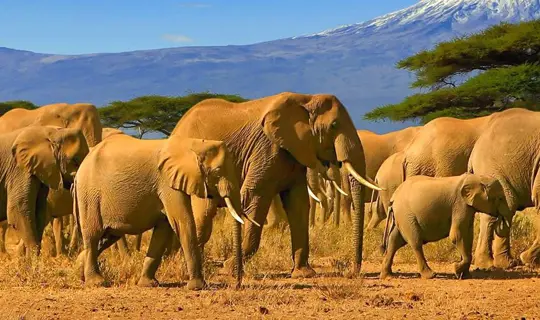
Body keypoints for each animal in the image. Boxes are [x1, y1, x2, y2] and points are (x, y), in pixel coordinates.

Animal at [74, 133, 247, 290]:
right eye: (217, 172)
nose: (237, 285)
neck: (193, 144)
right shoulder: (167, 183)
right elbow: (182, 222)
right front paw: (198, 287)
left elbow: (163, 229)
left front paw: (148, 284)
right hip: (89, 195)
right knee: (93, 235)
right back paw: (97, 282)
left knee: (107, 237)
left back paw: (80, 273)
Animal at [170, 92, 380, 276]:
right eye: (334, 125)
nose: (352, 272)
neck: (306, 99)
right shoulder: (266, 148)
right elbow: (255, 197)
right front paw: (230, 269)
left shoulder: (295, 153)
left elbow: (298, 204)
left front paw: (304, 273)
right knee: (204, 214)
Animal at [378, 172, 512, 280]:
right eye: (500, 198)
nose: (500, 218)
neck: (476, 178)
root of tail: (393, 198)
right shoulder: (460, 205)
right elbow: (457, 235)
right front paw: (456, 269)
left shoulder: (468, 207)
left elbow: (468, 236)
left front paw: (465, 275)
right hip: (406, 215)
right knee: (415, 242)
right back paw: (430, 275)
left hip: (402, 216)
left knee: (394, 241)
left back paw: (388, 276)